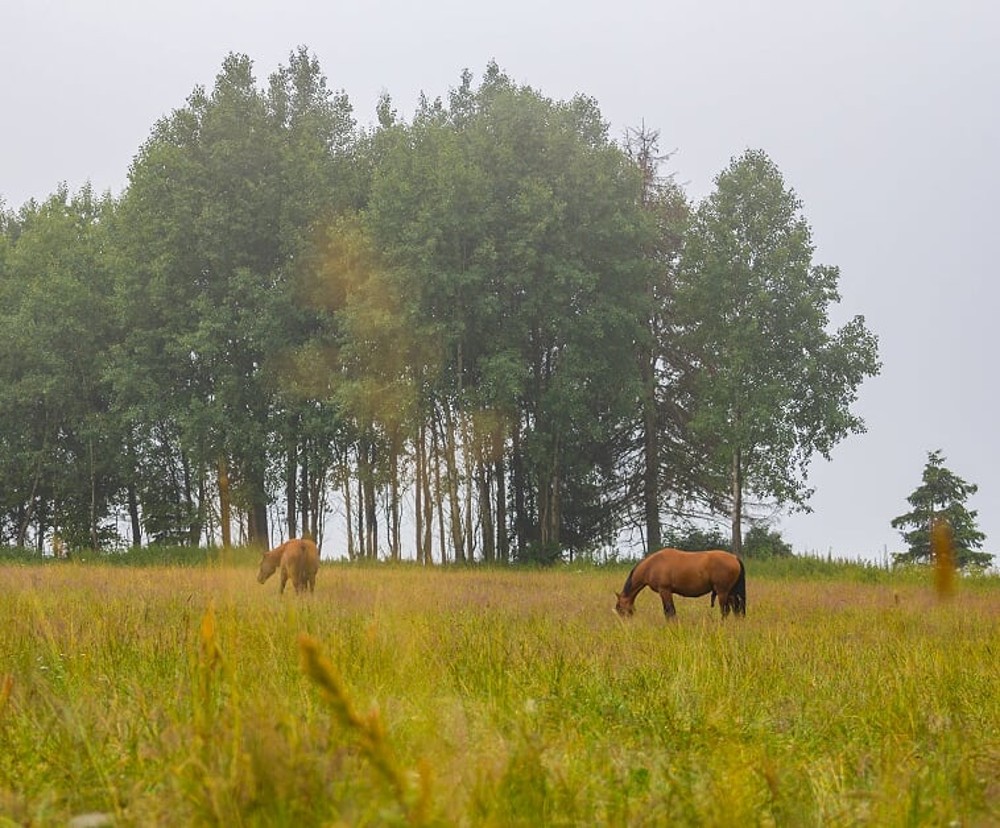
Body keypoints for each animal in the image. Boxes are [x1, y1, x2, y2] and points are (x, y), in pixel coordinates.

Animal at [615, 547, 746, 620]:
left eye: (620, 609)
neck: (652, 565)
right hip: (731, 593)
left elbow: (669, 612)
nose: (625, 623)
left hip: (723, 592)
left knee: (725, 611)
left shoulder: (665, 591)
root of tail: (734, 558)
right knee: (736, 609)